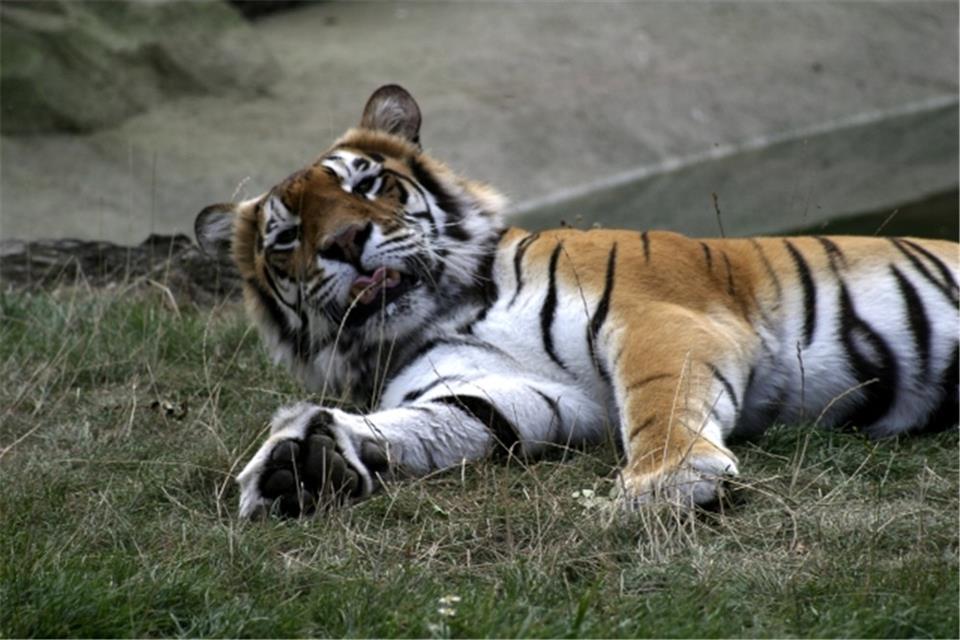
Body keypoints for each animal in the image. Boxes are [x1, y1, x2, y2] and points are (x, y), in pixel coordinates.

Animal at [195, 84, 959, 519]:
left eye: (368, 184)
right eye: (288, 236)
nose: (346, 242)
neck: (442, 310)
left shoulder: (658, 317)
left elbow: (659, 401)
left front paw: (667, 484)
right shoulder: (515, 389)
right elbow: (435, 422)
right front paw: (300, 464)